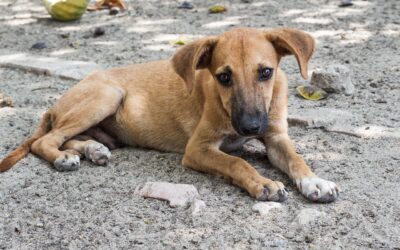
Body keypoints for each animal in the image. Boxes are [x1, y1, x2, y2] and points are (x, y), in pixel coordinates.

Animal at [0, 27, 340, 203]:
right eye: (223, 77)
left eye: (266, 72)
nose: (250, 127)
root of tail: (55, 103)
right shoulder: (197, 149)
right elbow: (236, 161)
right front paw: (263, 183)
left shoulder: (276, 137)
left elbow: (296, 159)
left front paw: (315, 182)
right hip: (107, 95)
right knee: (45, 140)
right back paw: (62, 157)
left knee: (70, 137)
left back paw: (93, 150)